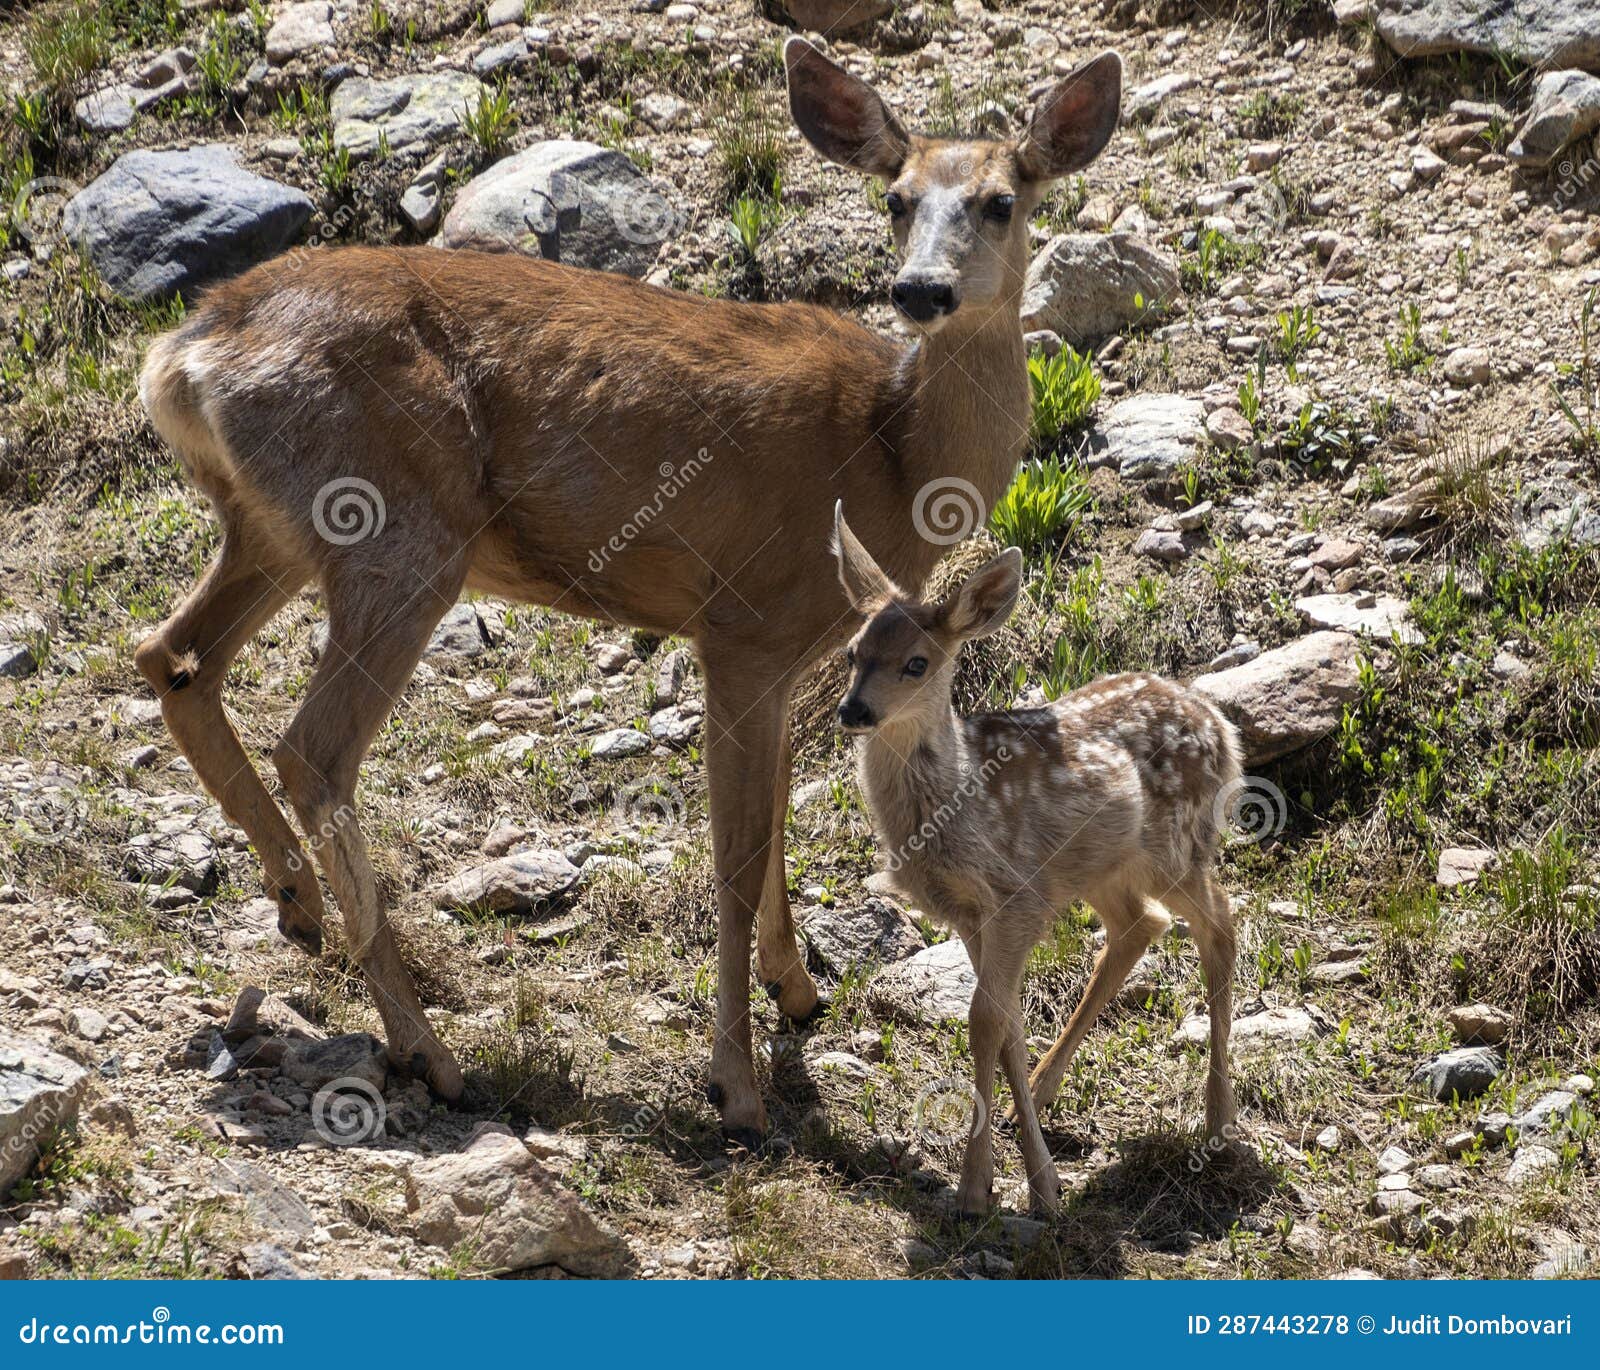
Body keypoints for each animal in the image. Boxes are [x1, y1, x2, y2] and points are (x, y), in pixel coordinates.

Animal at [134, 34, 1126, 1145]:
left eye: (1001, 199)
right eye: (897, 197)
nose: (919, 291)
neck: (892, 452)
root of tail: (185, 351)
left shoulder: (794, 655)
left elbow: (772, 821)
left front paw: (796, 991)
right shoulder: (741, 625)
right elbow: (736, 852)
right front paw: (737, 1085)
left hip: (274, 529)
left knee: (172, 654)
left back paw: (297, 902)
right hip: (396, 532)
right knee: (312, 747)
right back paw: (427, 1049)